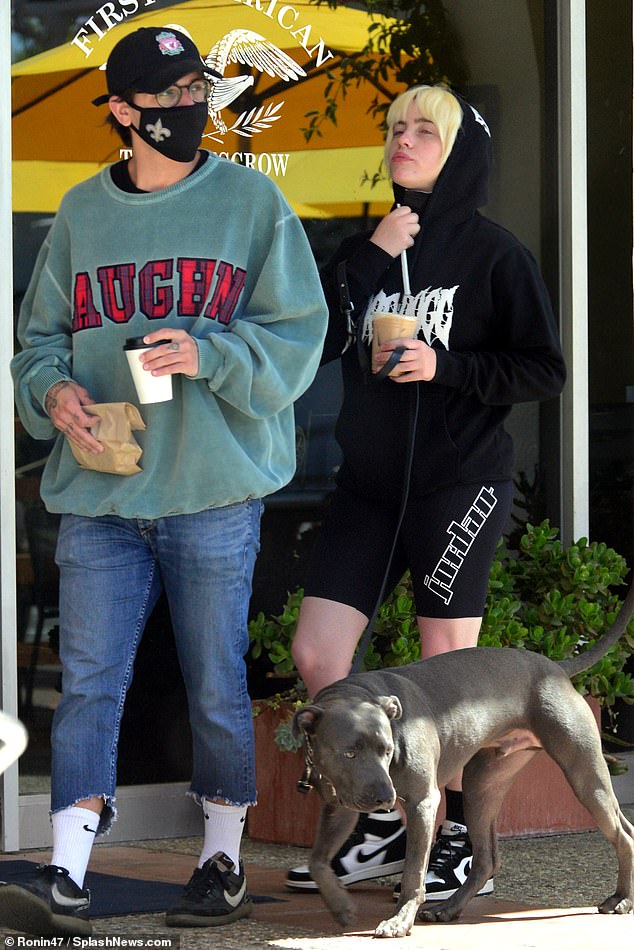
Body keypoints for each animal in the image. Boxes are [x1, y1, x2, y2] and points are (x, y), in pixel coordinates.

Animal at [292, 580, 632, 936]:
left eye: (388, 750)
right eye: (350, 753)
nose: (386, 797)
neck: (358, 693)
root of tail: (554, 668)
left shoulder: (423, 802)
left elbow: (413, 872)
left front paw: (400, 920)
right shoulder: (340, 805)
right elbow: (318, 861)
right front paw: (340, 906)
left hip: (584, 774)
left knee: (623, 835)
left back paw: (620, 899)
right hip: (482, 785)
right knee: (486, 858)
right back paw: (449, 908)